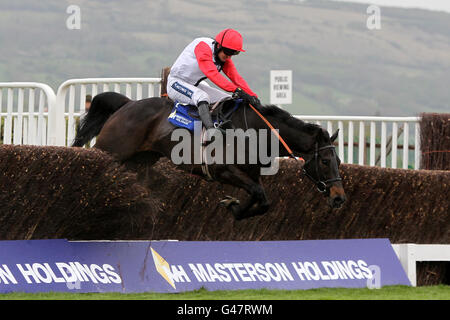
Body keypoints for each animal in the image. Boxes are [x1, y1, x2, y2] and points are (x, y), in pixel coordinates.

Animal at [72, 91, 346, 219]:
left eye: (339, 161)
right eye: (324, 161)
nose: (339, 198)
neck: (254, 132)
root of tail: (127, 104)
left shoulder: (251, 175)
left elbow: (263, 200)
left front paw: (233, 205)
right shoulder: (224, 170)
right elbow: (259, 195)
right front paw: (233, 206)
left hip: (137, 162)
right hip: (111, 149)